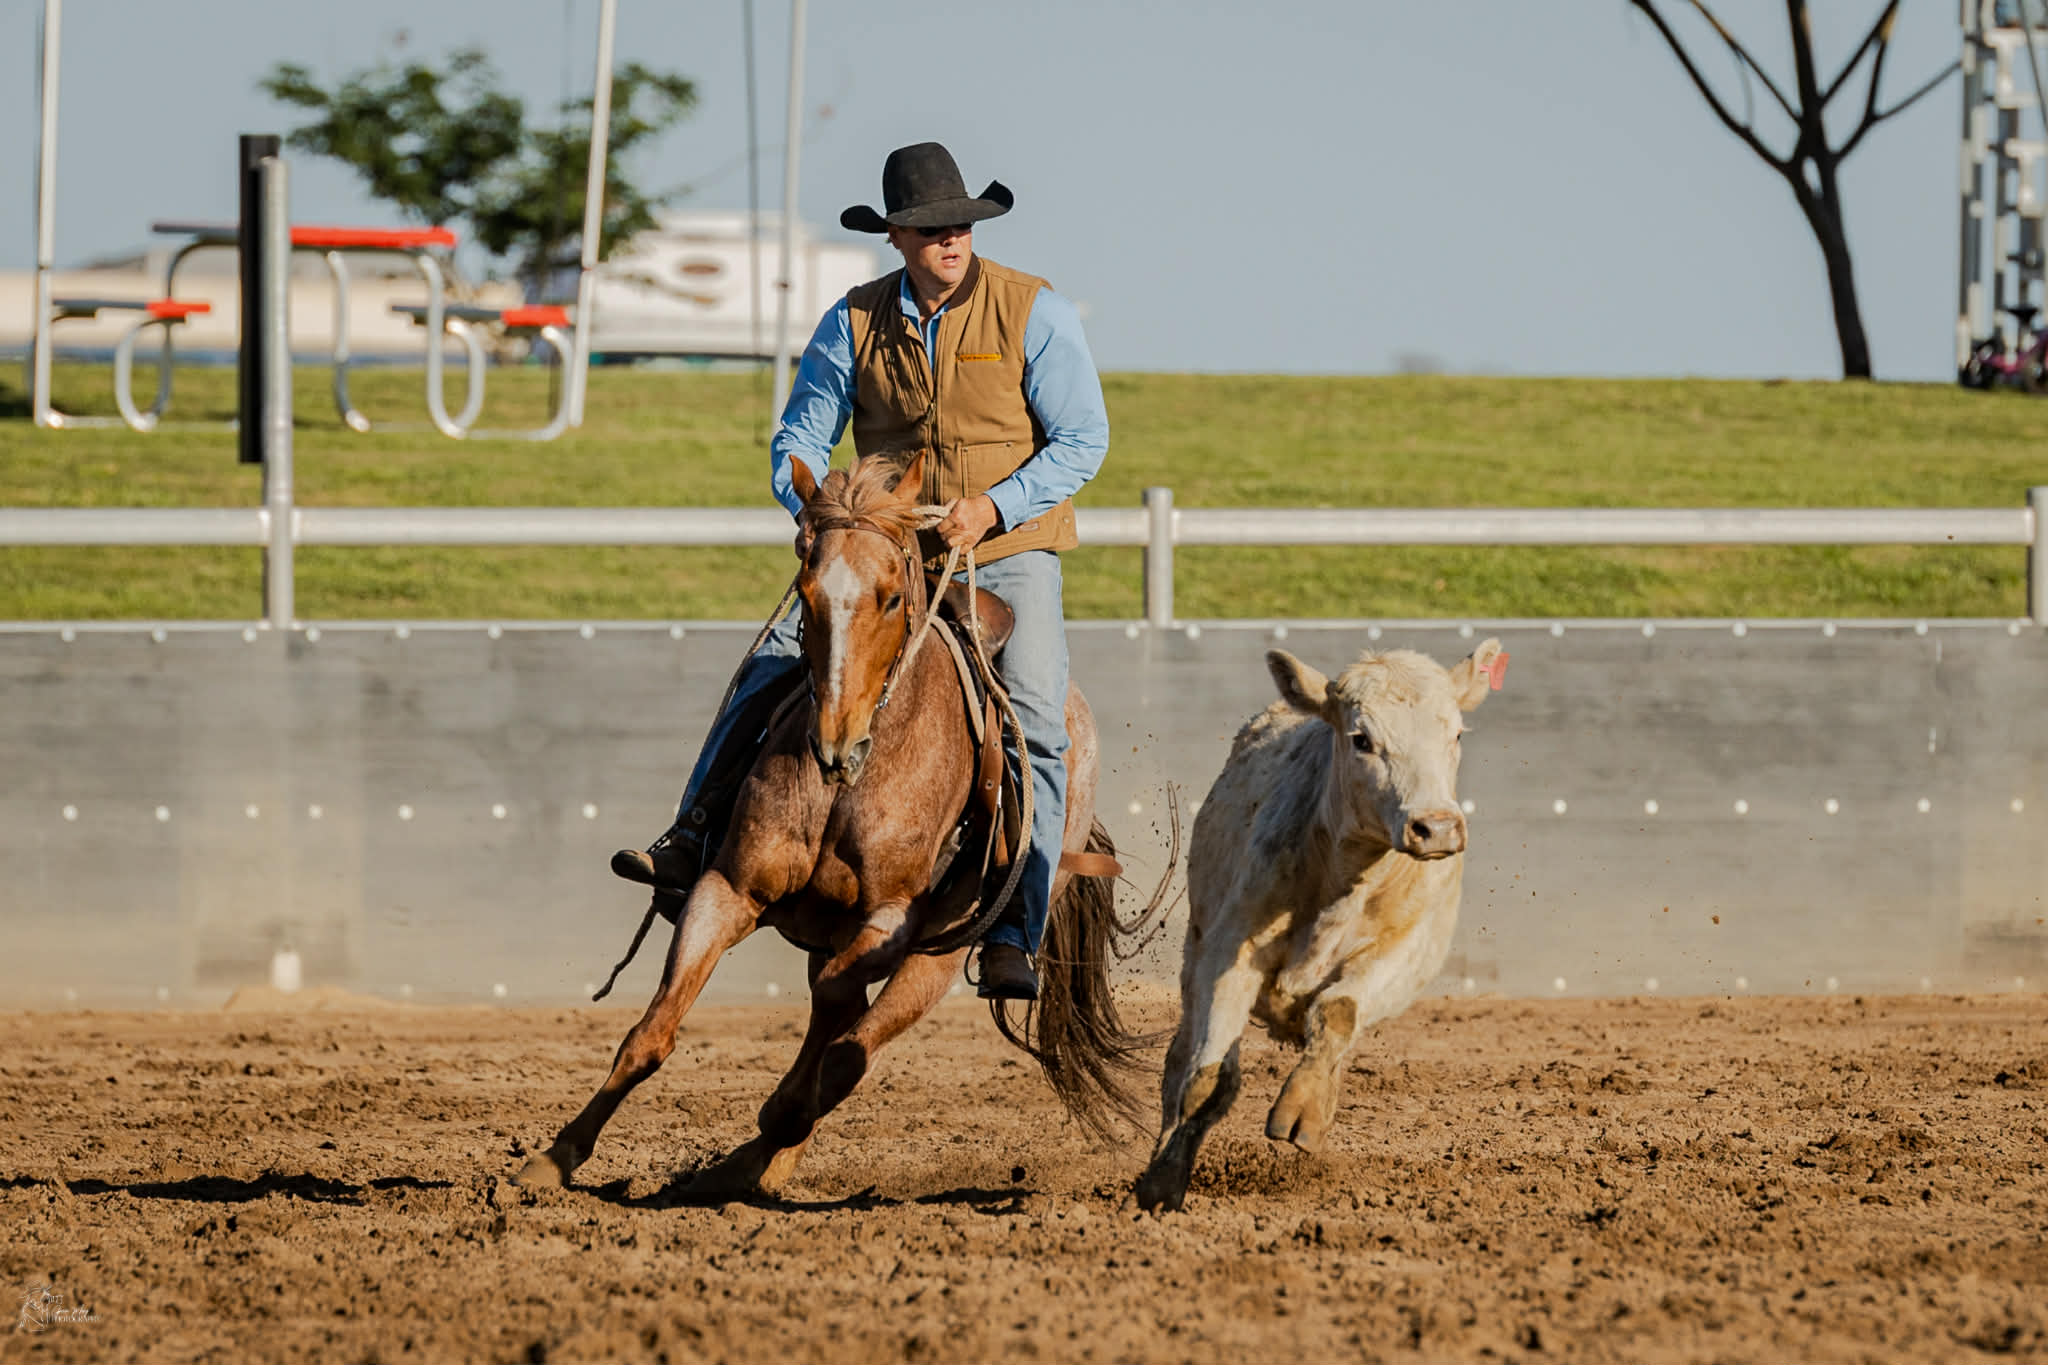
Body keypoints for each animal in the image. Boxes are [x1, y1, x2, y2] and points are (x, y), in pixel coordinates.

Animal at [516, 451, 1168, 1198]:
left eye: (889, 598)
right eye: (806, 589)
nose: (835, 743)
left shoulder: (889, 921)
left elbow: (836, 1022)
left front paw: (774, 1119)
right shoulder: (727, 889)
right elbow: (650, 1036)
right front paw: (555, 1155)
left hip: (940, 958)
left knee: (855, 1047)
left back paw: (752, 1156)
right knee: (840, 1034)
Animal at [1134, 638, 1506, 1213]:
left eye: (1457, 733)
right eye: (1361, 739)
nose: (1437, 827)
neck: (1344, 877)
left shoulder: (1407, 956)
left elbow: (1338, 1011)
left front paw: (1303, 1107)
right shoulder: (1227, 953)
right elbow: (1207, 1081)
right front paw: (1162, 1182)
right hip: (1194, 955)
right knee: (1184, 1060)